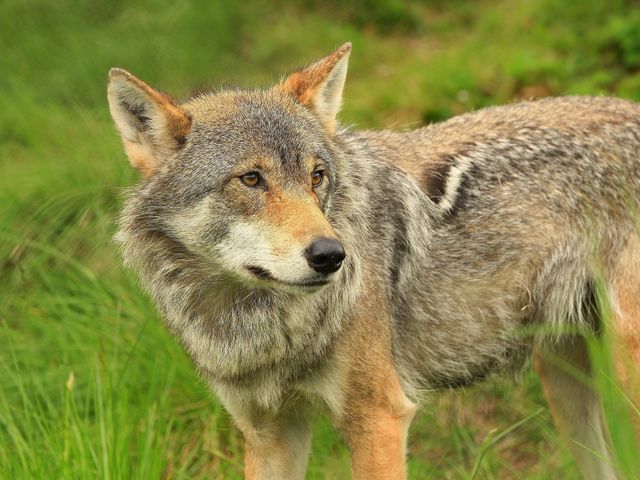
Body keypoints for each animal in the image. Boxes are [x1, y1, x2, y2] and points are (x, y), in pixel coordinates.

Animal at [109, 43, 640, 478]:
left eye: (317, 176)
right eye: (251, 179)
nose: (332, 255)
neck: (256, 325)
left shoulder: (379, 418)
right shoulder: (269, 433)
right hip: (566, 384)